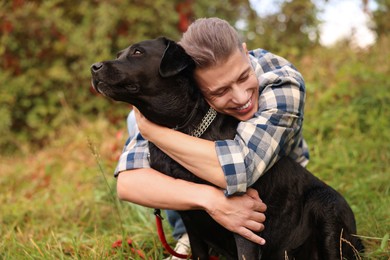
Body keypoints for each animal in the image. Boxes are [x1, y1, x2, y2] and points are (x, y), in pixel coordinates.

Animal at [90, 37, 364, 260]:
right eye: (119, 54)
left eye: (137, 52)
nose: (94, 67)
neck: (183, 128)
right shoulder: (191, 218)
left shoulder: (245, 221)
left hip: (326, 207)